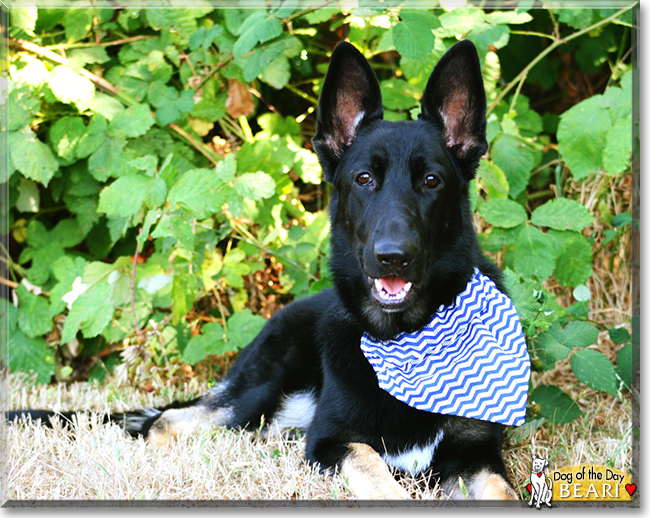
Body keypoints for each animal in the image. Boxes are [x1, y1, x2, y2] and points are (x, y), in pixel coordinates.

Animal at [11, 40, 528, 504]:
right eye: (364, 179)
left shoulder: (475, 456)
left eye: (431, 181)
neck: (408, 338)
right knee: (167, 423)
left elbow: (503, 493)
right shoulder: (332, 442)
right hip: (255, 396)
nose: (393, 256)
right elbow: (377, 474)